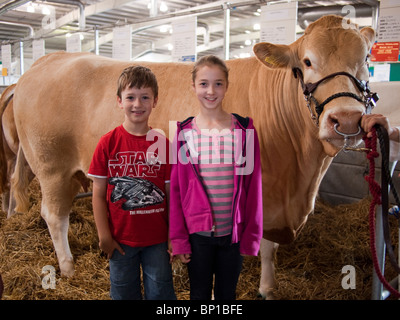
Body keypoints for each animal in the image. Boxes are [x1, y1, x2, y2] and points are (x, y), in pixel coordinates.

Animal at [7, 16, 376, 298]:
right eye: (307, 62)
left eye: (366, 62)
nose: (346, 119)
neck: (300, 177)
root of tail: (47, 60)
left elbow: (268, 246)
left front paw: (268, 288)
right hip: (51, 165)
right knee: (54, 215)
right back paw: (68, 268)